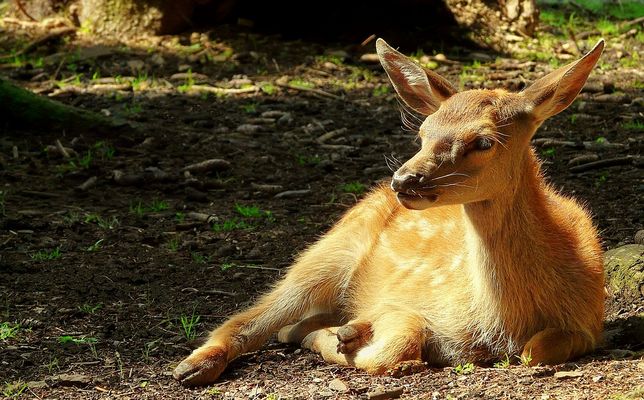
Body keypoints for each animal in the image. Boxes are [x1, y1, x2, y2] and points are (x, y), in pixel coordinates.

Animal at [173, 38, 606, 386]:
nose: (404, 180)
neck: (504, 318)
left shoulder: (588, 321)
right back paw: (193, 367)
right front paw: (344, 341)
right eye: (423, 132)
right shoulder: (408, 301)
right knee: (251, 317)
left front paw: (343, 336)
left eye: (483, 141)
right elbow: (395, 345)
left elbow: (536, 350)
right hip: (326, 253)